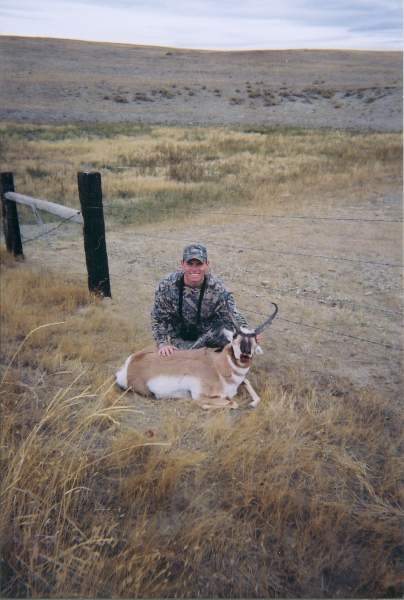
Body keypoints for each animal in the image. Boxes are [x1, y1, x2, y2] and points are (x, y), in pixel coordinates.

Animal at [115, 302, 276, 410]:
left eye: (255, 341)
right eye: (235, 338)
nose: (245, 355)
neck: (218, 367)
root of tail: (130, 362)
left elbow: (252, 392)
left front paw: (252, 403)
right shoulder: (200, 395)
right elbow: (232, 402)